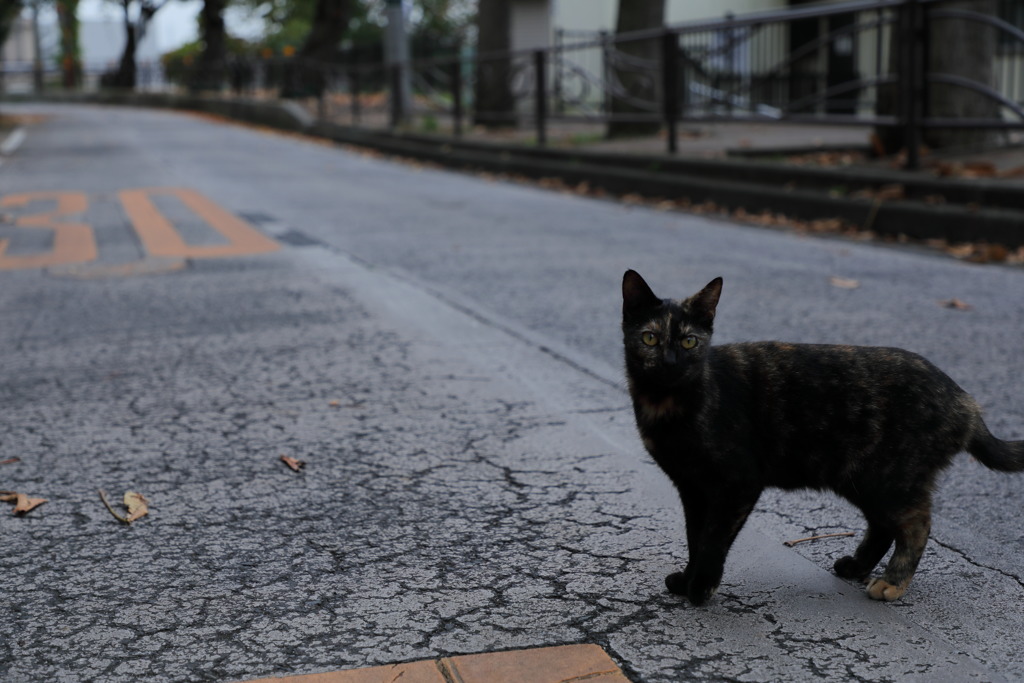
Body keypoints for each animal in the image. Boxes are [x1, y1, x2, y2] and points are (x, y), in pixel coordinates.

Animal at [618, 270, 1019, 606]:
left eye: (689, 342)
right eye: (650, 338)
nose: (670, 362)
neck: (665, 405)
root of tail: (964, 400)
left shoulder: (737, 484)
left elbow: (713, 540)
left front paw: (700, 587)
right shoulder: (692, 488)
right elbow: (694, 536)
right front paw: (687, 579)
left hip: (890, 479)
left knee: (916, 525)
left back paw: (892, 582)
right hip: (862, 478)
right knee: (882, 526)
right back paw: (856, 567)